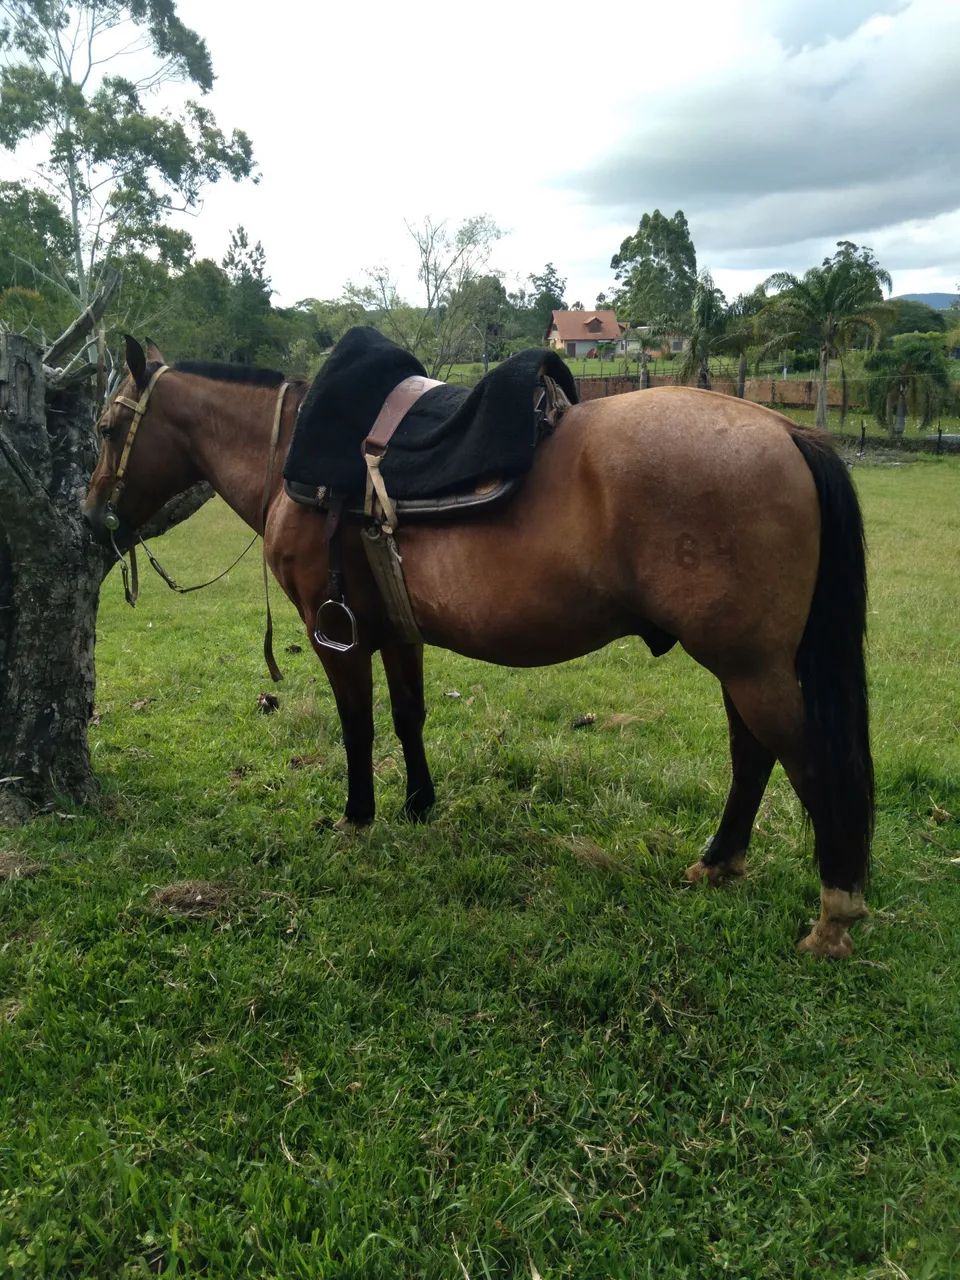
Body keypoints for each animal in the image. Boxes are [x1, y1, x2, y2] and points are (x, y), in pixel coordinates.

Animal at [85, 336, 874, 958]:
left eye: (105, 426)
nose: (93, 519)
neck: (290, 457)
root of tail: (787, 432)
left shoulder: (334, 632)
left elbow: (357, 726)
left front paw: (358, 817)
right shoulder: (397, 631)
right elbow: (408, 716)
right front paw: (419, 804)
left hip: (750, 667)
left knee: (802, 760)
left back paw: (833, 915)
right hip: (743, 665)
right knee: (753, 754)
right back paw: (719, 863)